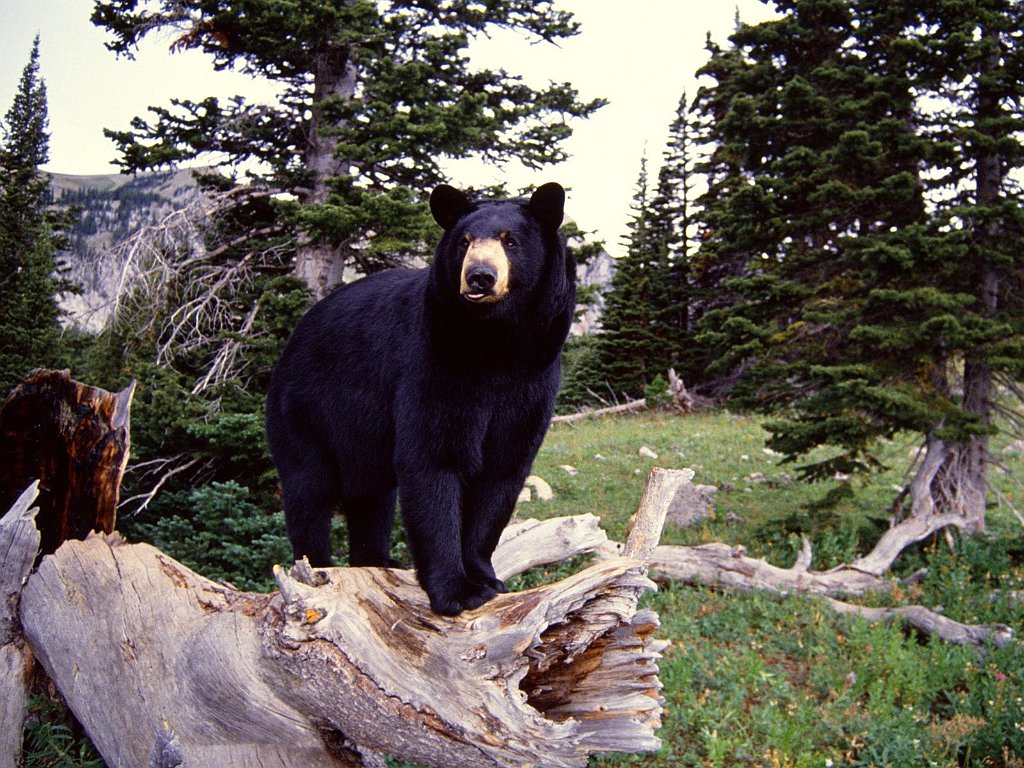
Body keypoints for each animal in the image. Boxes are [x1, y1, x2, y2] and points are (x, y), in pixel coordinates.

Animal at [266, 183, 577, 618]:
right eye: (464, 241)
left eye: (510, 241)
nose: (480, 276)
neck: (497, 347)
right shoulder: (434, 364)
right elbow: (434, 461)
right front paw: (455, 590)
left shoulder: (534, 382)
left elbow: (503, 471)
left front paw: (485, 577)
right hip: (305, 411)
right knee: (309, 490)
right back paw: (319, 567)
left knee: (372, 496)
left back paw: (377, 560)